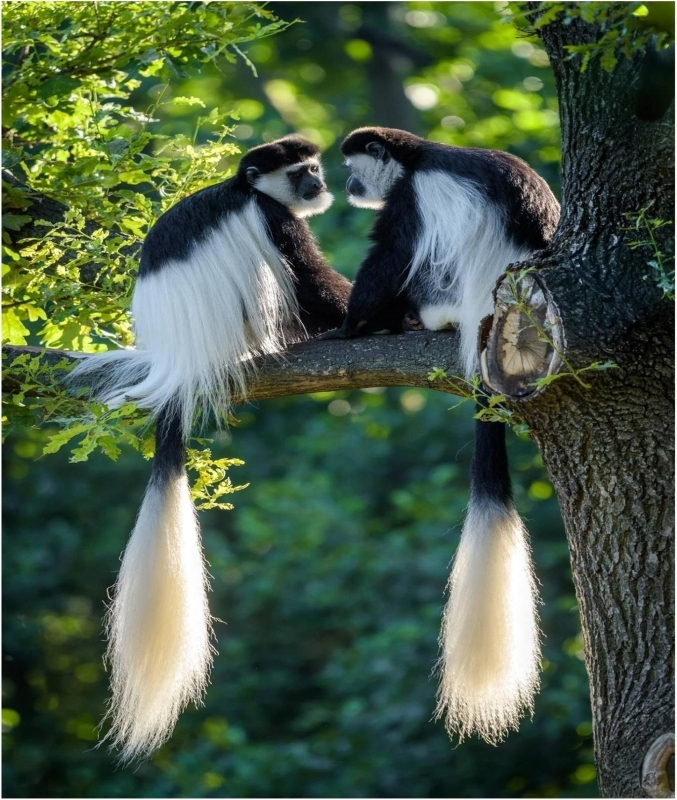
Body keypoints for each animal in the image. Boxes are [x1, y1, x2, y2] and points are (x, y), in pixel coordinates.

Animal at [68, 135, 353, 762]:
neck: (248, 188)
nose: (319, 186)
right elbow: (313, 279)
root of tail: (178, 362)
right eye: (301, 172)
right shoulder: (274, 220)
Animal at [325, 127, 561, 745]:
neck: (419, 155)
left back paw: (399, 320)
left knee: (417, 272)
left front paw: (349, 325)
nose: (348, 185)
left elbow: (389, 256)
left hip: (443, 294)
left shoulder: (412, 201)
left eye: (354, 166)